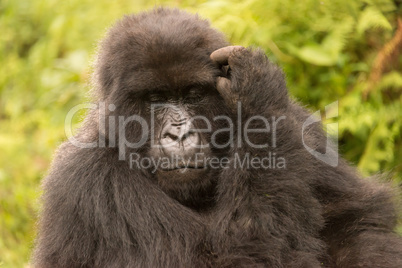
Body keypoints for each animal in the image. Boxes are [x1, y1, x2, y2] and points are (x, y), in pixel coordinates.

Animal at [32, 7, 402, 266]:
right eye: (155, 99)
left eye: (193, 94)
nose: (179, 134)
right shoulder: (86, 180)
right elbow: (239, 257)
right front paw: (256, 95)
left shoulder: (299, 125)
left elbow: (357, 223)